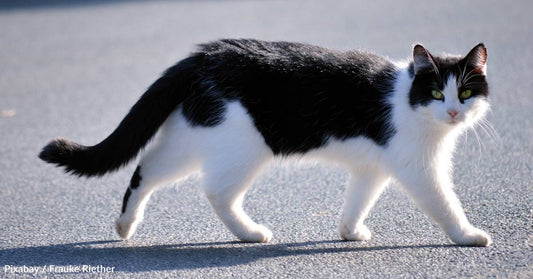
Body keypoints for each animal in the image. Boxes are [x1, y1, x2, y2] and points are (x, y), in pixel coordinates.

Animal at [39, 38, 492, 247]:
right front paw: (467, 235)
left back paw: (126, 224)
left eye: (466, 92)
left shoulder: (373, 166)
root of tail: (204, 55)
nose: (454, 112)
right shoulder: (419, 167)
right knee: (216, 191)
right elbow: (444, 203)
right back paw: (249, 233)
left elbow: (358, 198)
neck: (406, 98)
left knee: (145, 168)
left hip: (194, 133)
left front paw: (349, 231)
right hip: (244, 147)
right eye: (436, 93)